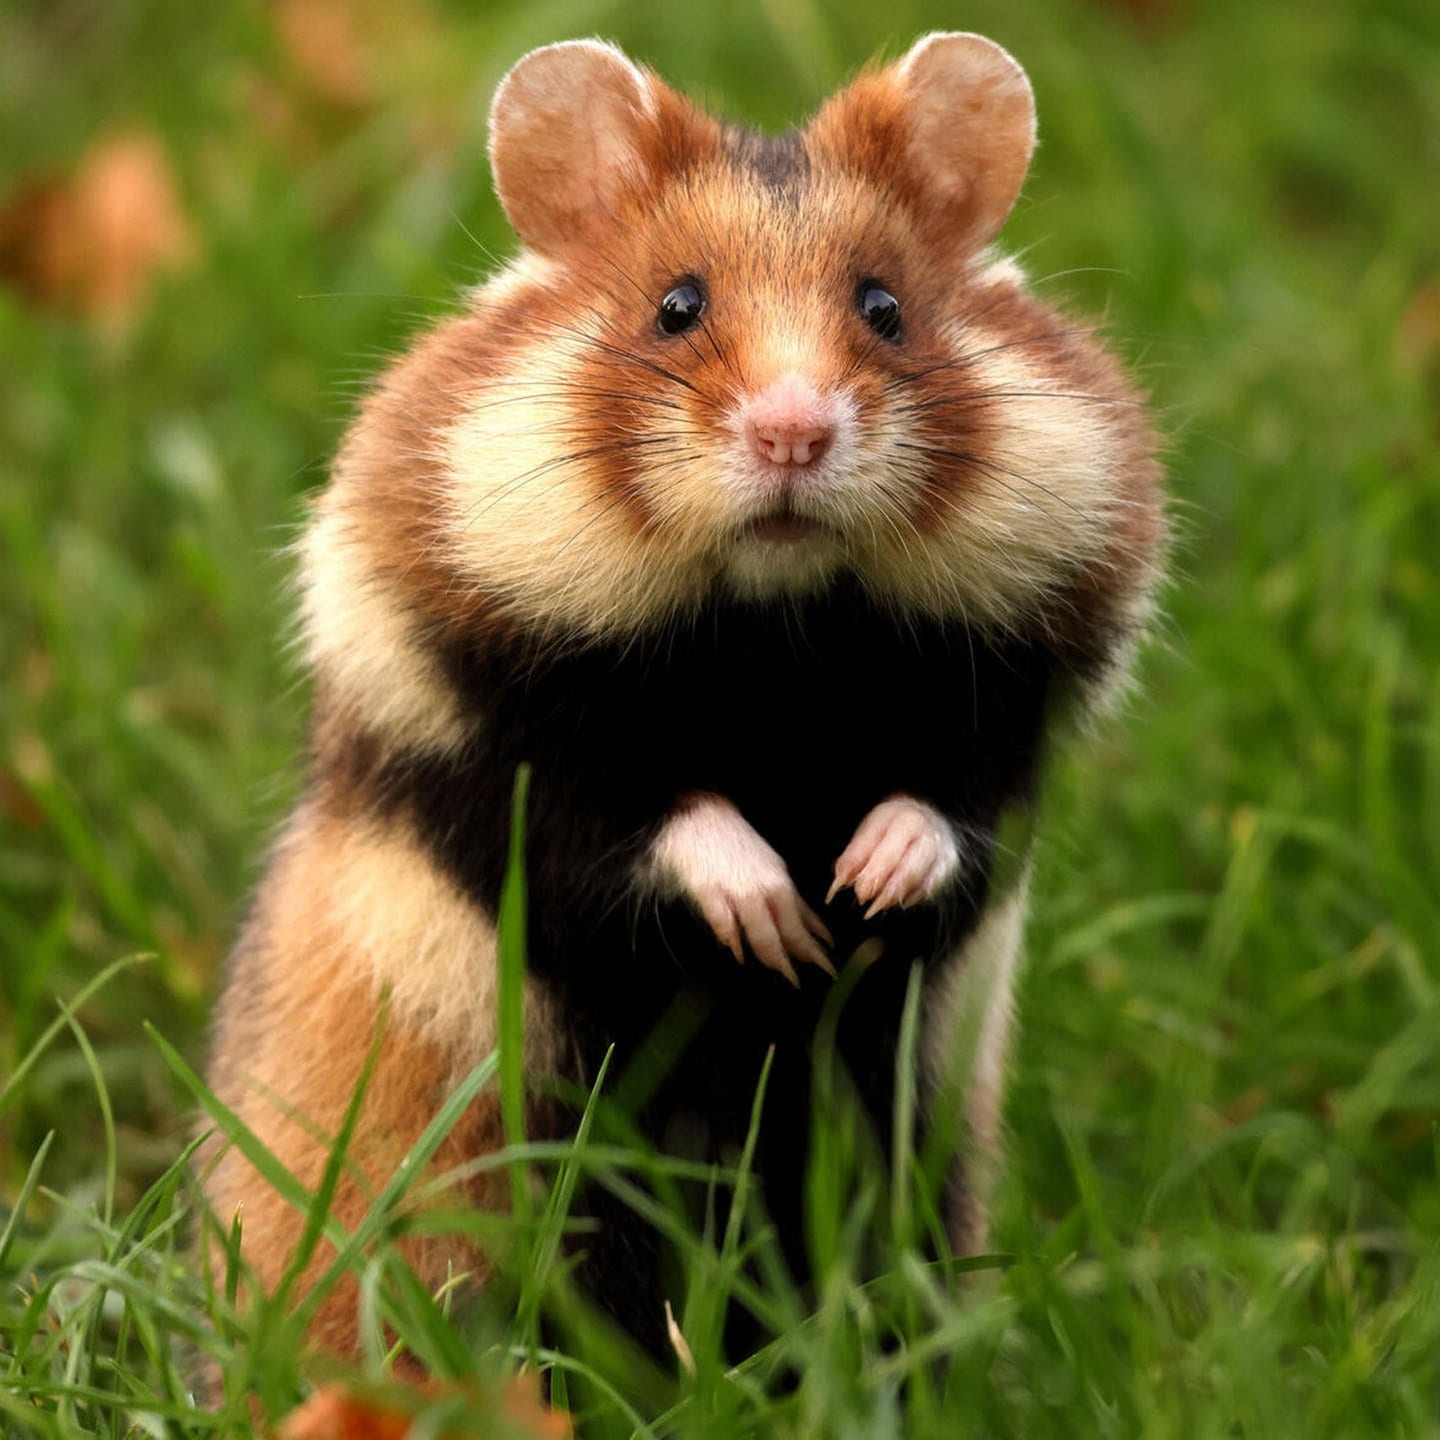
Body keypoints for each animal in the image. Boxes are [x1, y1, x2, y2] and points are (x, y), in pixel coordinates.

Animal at [202, 32, 1164, 1364]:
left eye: (885, 307)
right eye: (677, 306)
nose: (794, 434)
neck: (776, 635)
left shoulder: (1011, 729)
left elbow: (946, 809)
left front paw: (860, 886)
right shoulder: (499, 760)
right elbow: (636, 820)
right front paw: (784, 923)